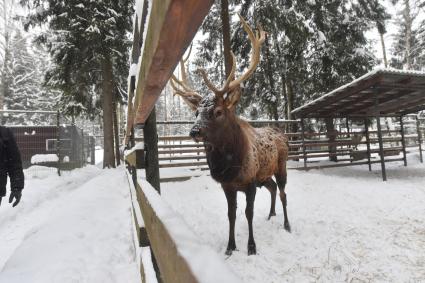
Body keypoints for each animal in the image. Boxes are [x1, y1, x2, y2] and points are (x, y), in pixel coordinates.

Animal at [169, 14, 288, 256]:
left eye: (218, 111)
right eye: (196, 112)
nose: (194, 131)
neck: (229, 166)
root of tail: (281, 133)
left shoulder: (250, 181)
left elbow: (248, 213)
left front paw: (251, 247)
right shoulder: (228, 185)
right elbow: (231, 215)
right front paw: (230, 246)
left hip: (281, 165)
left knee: (283, 193)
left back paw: (287, 224)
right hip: (265, 175)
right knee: (272, 188)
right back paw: (271, 214)